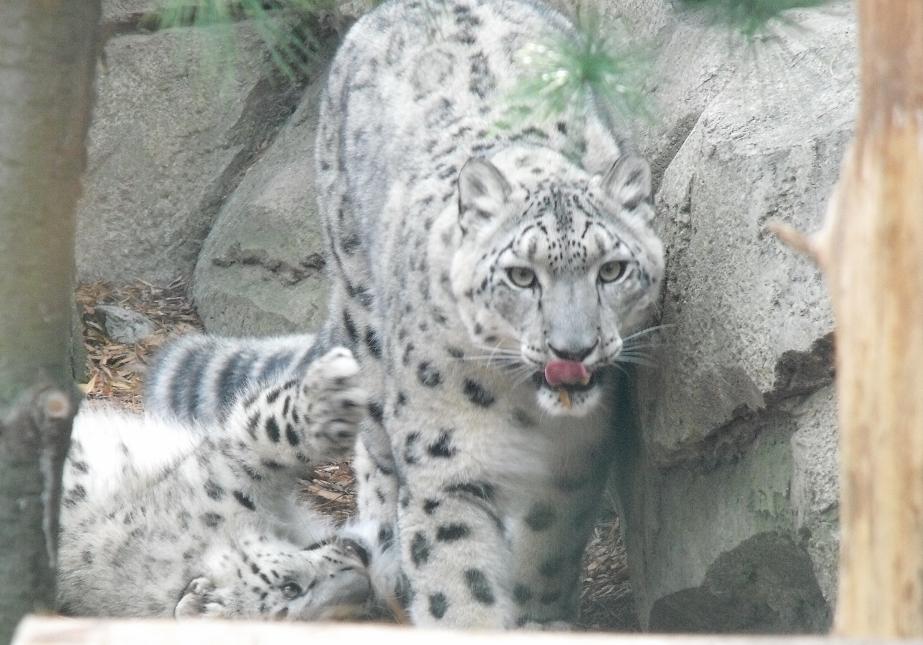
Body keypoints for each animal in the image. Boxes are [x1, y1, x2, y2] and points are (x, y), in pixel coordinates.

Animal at [145, 0, 664, 629]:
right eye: (522, 275)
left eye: (611, 270)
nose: (573, 349)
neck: (524, 410)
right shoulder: (446, 460)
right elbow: (457, 578)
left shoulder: (574, 460)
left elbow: (547, 548)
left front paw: (541, 619)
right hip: (360, 308)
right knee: (374, 448)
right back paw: (388, 560)